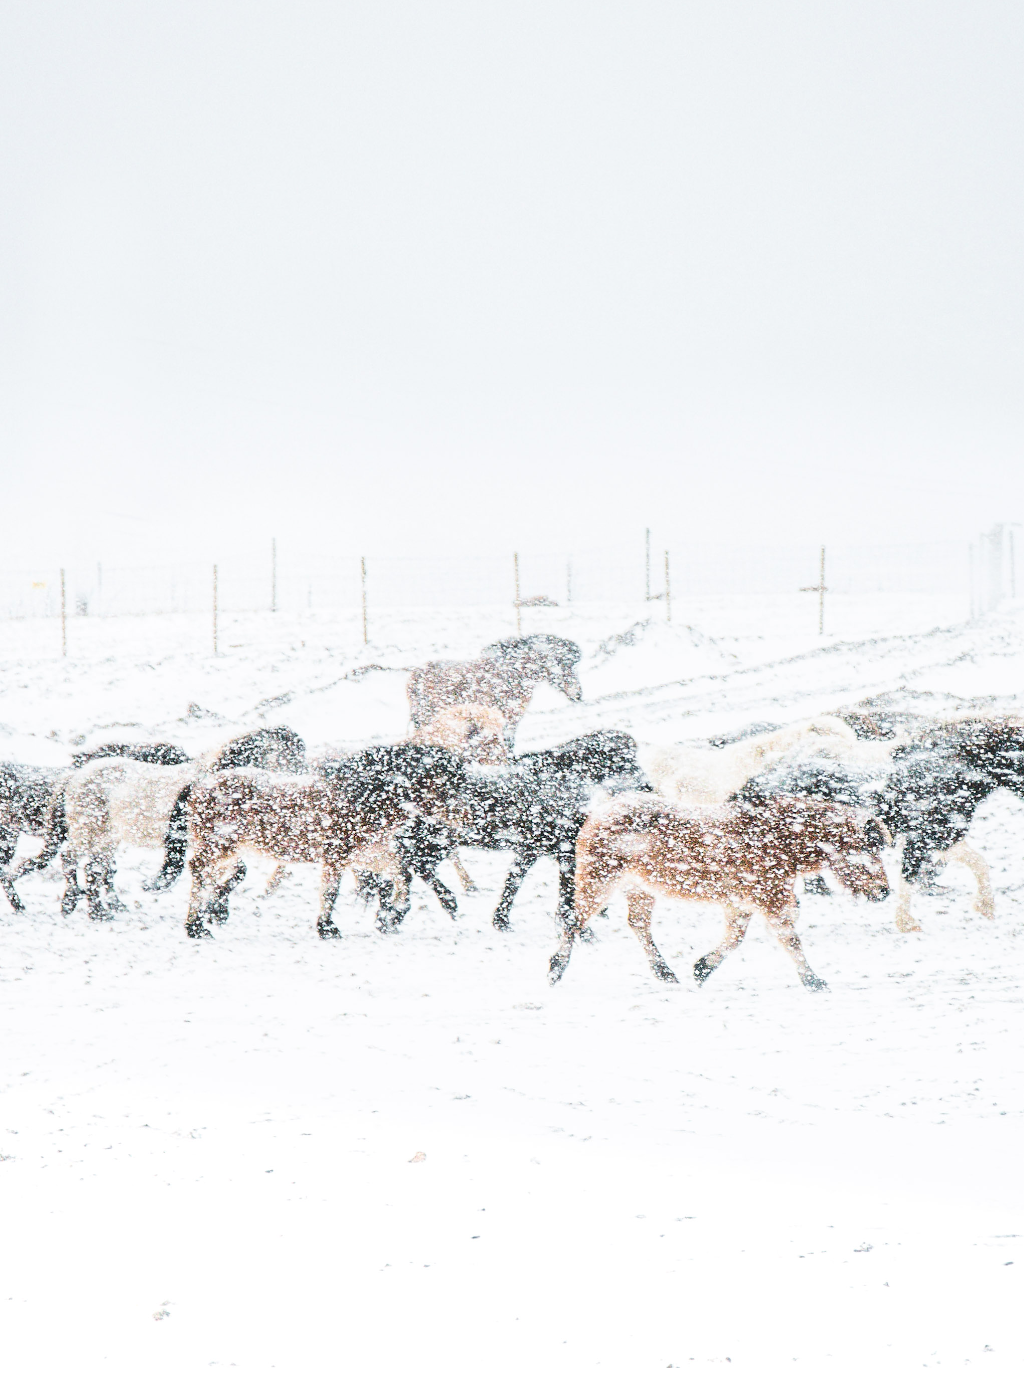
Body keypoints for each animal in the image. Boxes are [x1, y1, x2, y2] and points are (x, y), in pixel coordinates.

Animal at [185, 747, 468, 942]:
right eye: (449, 779)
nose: (468, 817)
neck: (360, 799)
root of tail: (199, 786)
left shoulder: (368, 855)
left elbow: (401, 878)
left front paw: (391, 918)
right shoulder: (337, 854)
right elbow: (331, 891)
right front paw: (328, 928)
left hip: (230, 849)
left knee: (217, 874)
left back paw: (211, 914)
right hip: (220, 845)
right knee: (200, 870)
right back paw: (195, 927)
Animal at [551, 797, 891, 992]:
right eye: (865, 852)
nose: (884, 891)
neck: (781, 836)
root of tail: (596, 814)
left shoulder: (742, 901)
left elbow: (735, 938)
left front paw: (702, 968)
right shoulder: (770, 898)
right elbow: (789, 938)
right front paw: (813, 981)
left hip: (638, 889)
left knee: (637, 924)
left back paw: (665, 973)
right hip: (600, 880)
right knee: (573, 919)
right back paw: (556, 969)